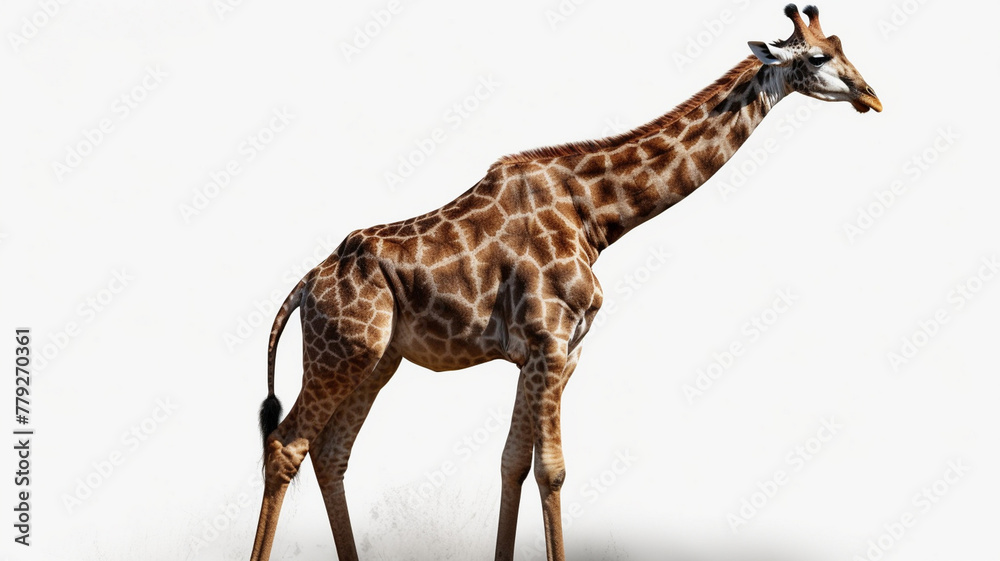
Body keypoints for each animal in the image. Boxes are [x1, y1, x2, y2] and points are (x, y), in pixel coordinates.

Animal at [249, 5, 881, 560]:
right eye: (819, 56)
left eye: (842, 44)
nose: (871, 97)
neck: (595, 214)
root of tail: (305, 285)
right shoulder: (549, 342)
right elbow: (551, 470)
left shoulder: (557, 351)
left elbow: (513, 462)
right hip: (341, 352)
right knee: (286, 443)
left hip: (378, 359)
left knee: (332, 452)